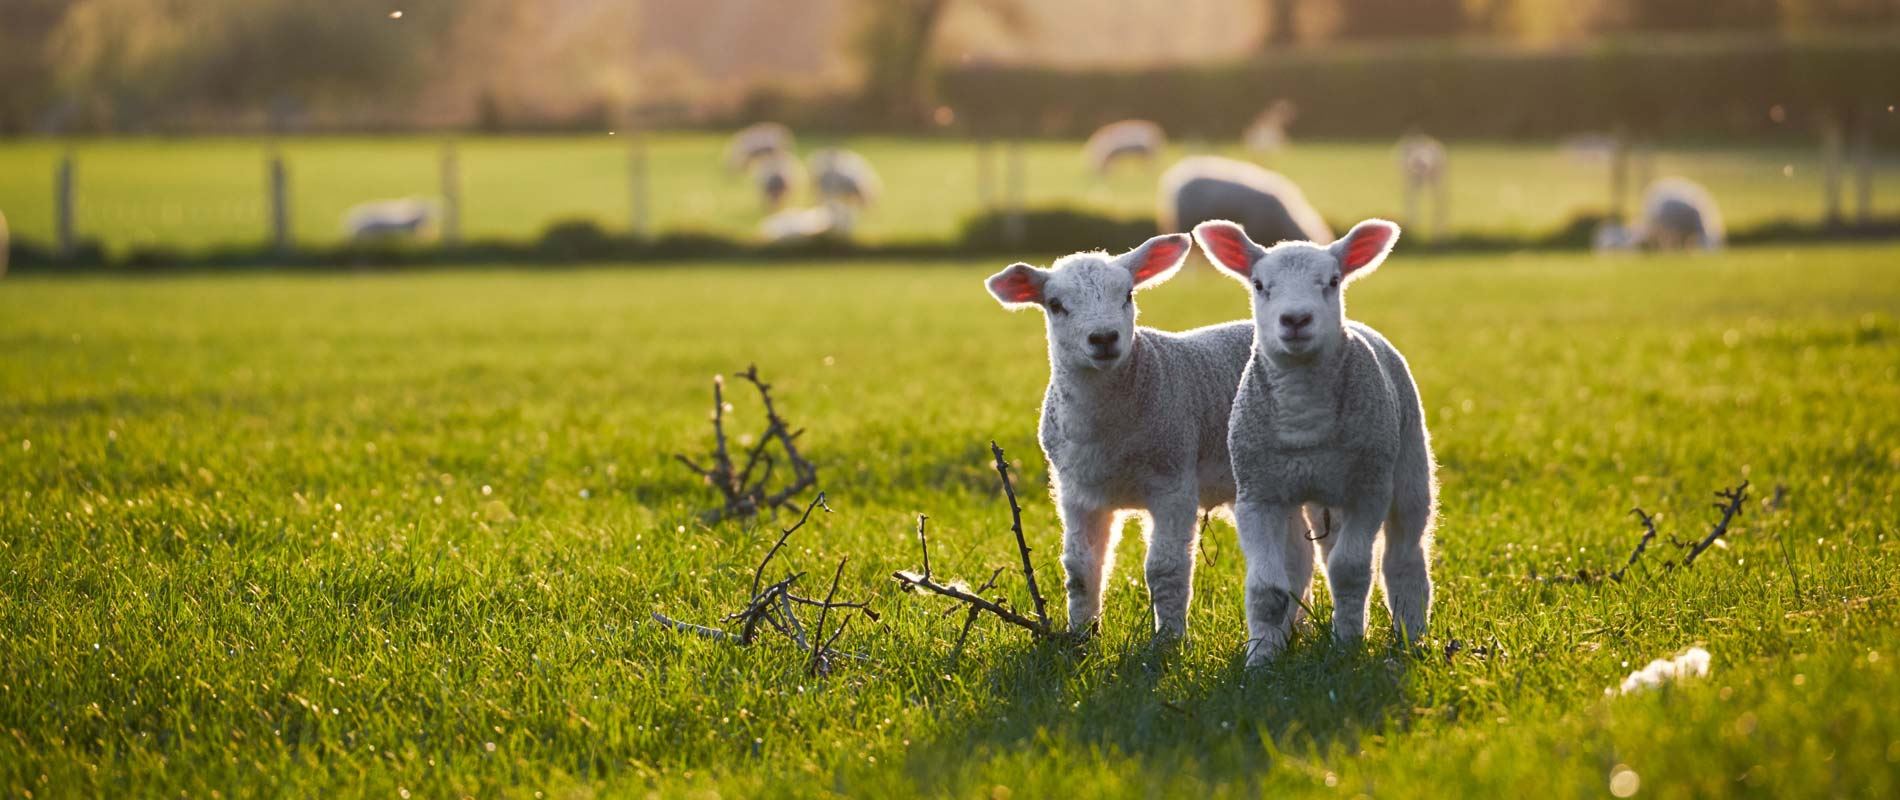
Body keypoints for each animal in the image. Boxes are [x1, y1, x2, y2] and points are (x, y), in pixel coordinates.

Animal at [988, 233, 1314, 638]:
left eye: (1128, 294)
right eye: (1055, 305)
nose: (1104, 338)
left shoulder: (1173, 482)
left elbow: (1165, 570)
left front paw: (1167, 641)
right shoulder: (1077, 493)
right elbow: (1080, 570)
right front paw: (1080, 635)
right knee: (1300, 554)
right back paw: (1298, 627)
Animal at [1193, 214, 1428, 665]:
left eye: (1333, 281)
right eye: (1259, 285)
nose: (1296, 320)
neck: (1304, 419)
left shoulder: (1369, 489)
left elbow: (1350, 572)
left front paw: (1347, 647)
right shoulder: (1258, 496)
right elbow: (1268, 588)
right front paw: (1260, 660)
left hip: (1408, 465)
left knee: (1404, 557)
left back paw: (1412, 635)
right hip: (1309, 497)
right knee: (1304, 559)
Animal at [1596, 177, 1732, 252]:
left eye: (1716, 247)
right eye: (1706, 246)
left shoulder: (1683, 232)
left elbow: (1684, 244)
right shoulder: (1675, 229)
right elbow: (1675, 243)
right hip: (1662, 227)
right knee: (1662, 240)